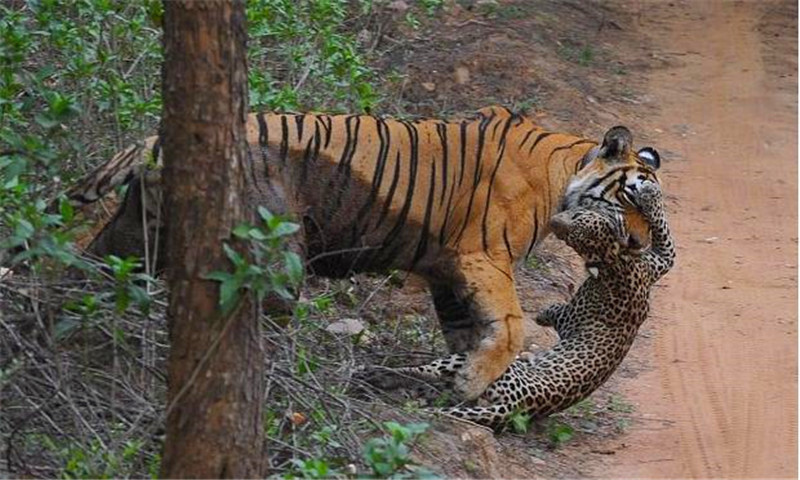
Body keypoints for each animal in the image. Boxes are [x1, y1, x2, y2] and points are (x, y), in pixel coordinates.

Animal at [54, 107, 664, 400]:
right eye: (629, 198)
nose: (638, 245)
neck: (564, 171)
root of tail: (153, 141)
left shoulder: (446, 271)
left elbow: (466, 334)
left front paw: (454, 388)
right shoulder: (482, 256)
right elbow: (511, 328)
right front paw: (471, 385)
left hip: (134, 236)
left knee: (86, 270)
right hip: (276, 253)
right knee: (262, 327)